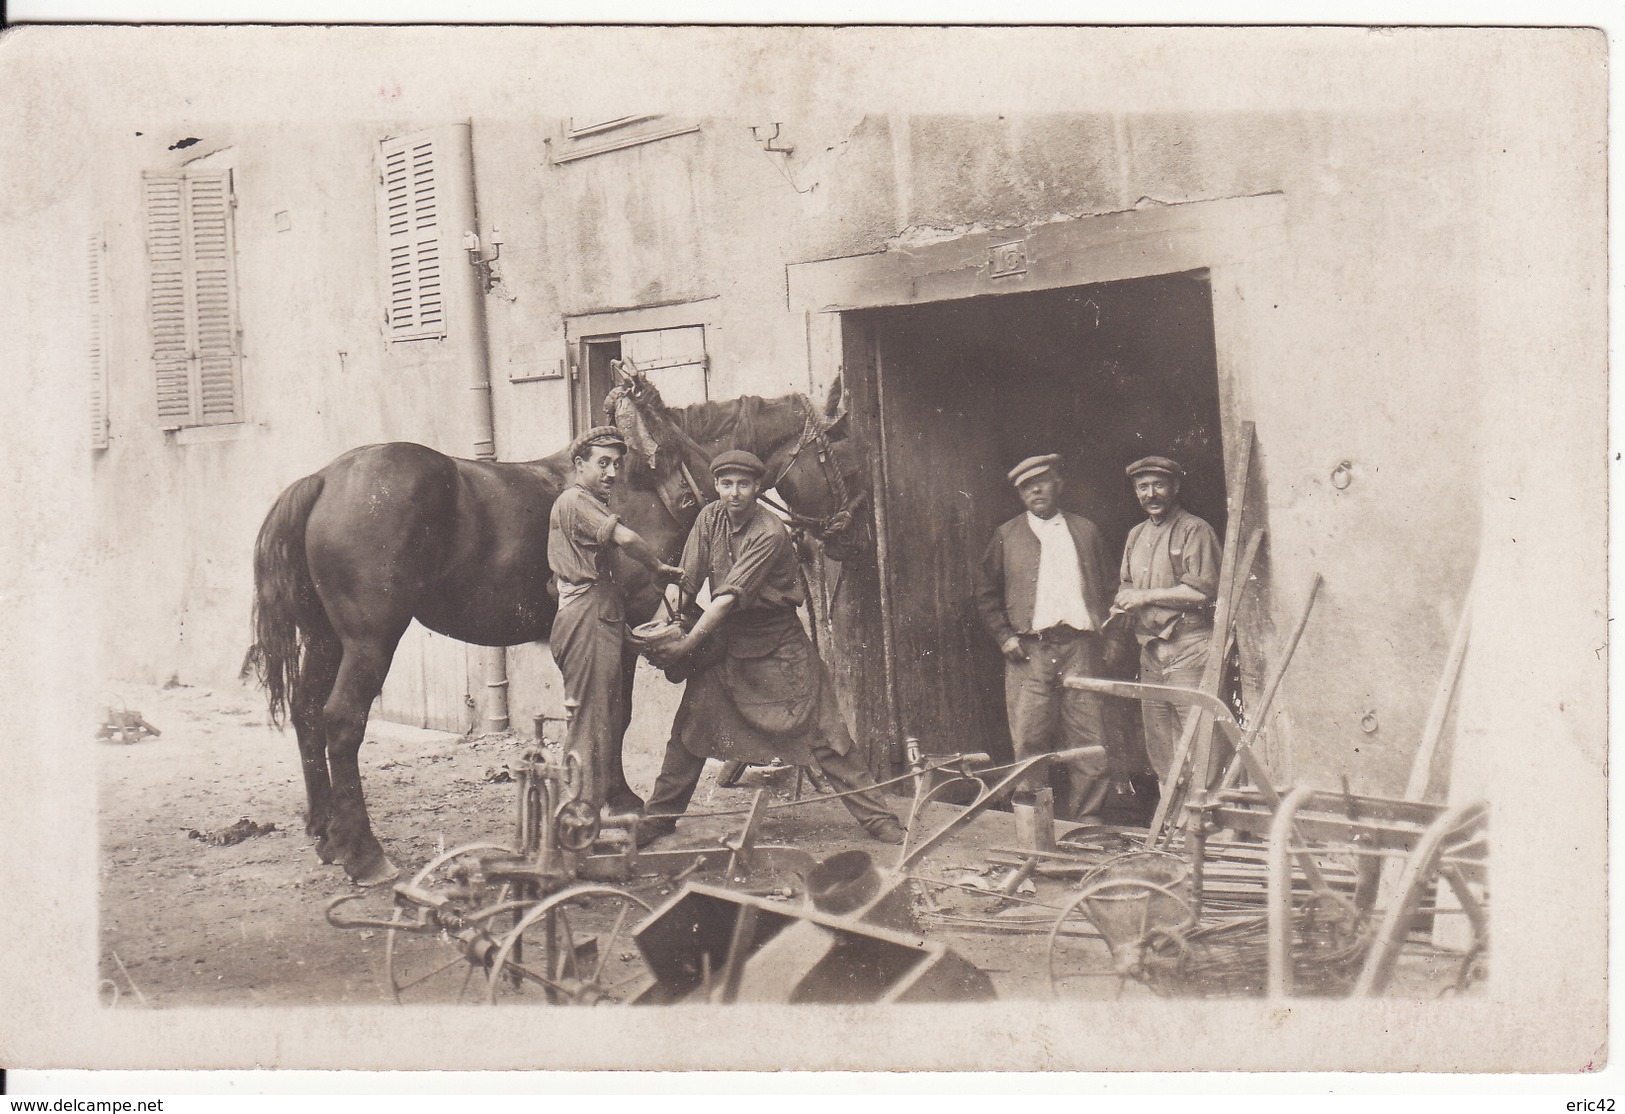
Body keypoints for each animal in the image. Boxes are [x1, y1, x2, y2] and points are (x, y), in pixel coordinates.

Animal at [242, 370, 871, 883]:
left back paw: (327, 833)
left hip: (325, 638)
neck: (648, 476)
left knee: (305, 712)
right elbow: (616, 712)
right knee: (341, 723)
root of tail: (325, 479)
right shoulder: (628, 620)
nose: (850, 536)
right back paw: (364, 852)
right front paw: (621, 797)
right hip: (369, 642)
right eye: (842, 461)